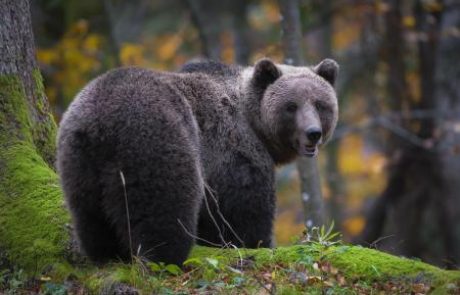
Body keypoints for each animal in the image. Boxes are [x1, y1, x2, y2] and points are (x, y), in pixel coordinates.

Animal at [56, 57, 338, 266]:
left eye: (320, 104)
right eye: (291, 106)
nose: (313, 133)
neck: (255, 125)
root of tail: (100, 122)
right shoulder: (233, 151)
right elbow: (242, 210)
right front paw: (257, 244)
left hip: (78, 160)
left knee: (90, 214)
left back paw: (108, 255)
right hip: (157, 139)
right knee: (165, 206)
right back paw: (165, 257)